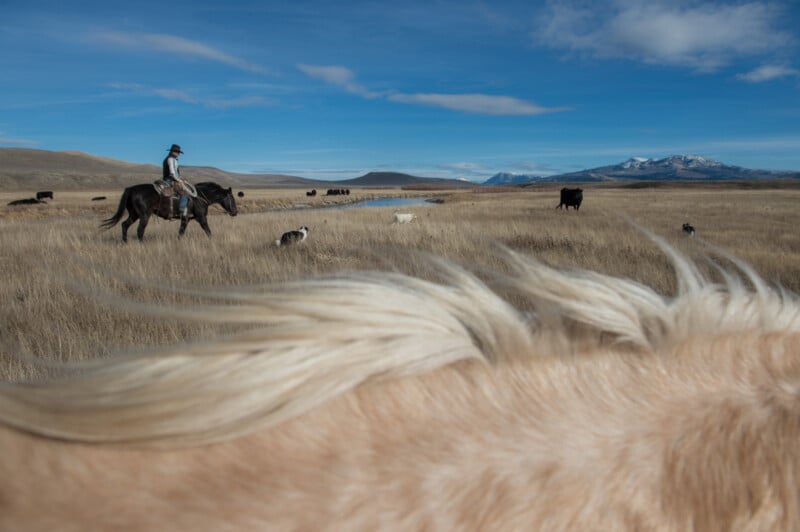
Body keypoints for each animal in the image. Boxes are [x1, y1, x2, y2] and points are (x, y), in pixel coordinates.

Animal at [100, 181, 238, 242]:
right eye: (231, 198)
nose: (235, 212)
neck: (199, 197)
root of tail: (131, 189)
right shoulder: (201, 218)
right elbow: (208, 231)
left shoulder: (185, 219)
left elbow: (181, 232)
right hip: (144, 215)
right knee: (140, 230)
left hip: (134, 214)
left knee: (124, 225)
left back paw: (125, 243)